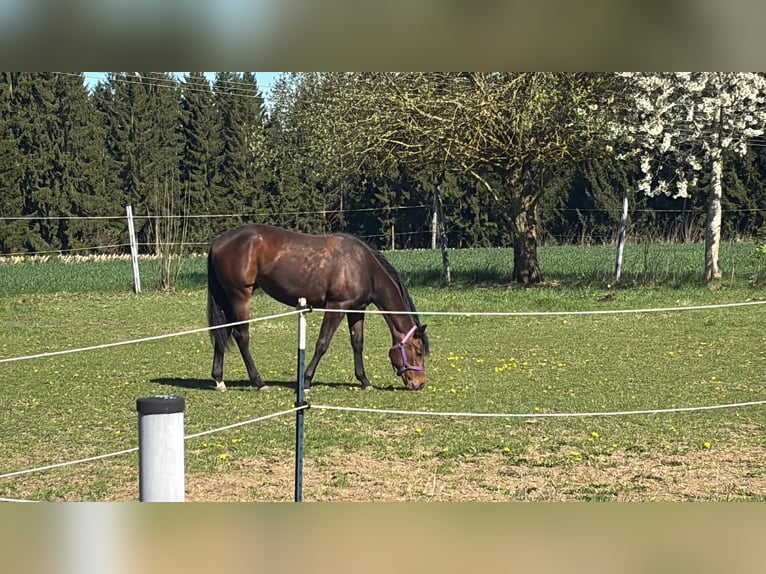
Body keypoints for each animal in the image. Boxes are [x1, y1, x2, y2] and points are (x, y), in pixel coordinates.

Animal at [206, 224, 429, 392]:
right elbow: (323, 343)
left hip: (227, 298)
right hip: (240, 297)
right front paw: (306, 381)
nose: (419, 384)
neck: (362, 266)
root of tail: (218, 242)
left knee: (222, 333)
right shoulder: (337, 306)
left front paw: (364, 381)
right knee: (241, 336)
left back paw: (219, 380)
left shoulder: (357, 310)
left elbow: (357, 343)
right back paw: (259, 382)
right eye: (418, 351)